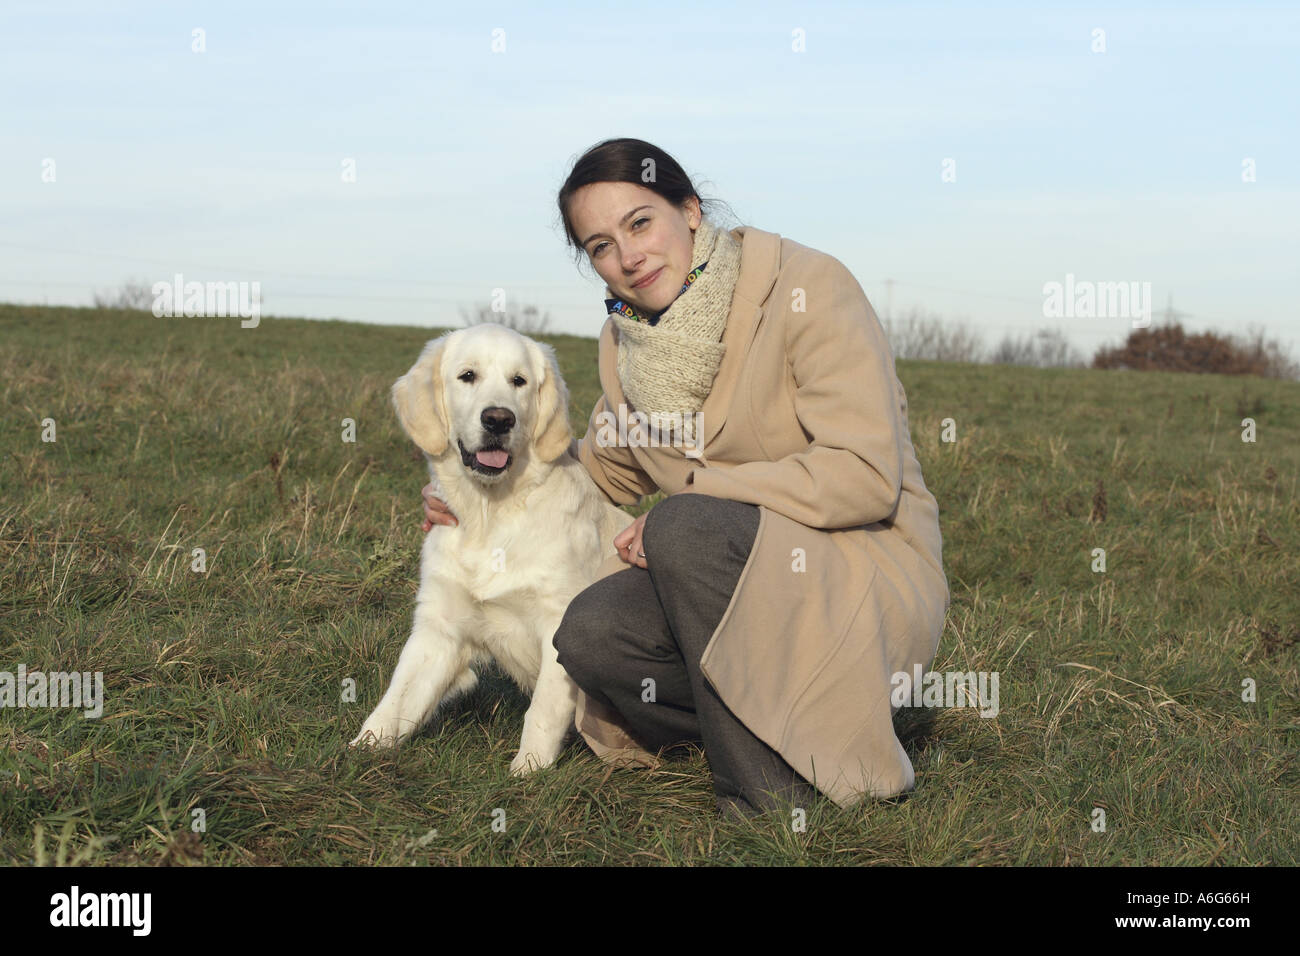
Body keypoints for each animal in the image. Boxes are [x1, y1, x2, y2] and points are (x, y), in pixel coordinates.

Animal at [345, 325, 629, 775]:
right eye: (468, 375)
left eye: (519, 381)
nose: (498, 418)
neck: (489, 513)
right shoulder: (439, 627)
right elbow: (398, 697)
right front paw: (362, 749)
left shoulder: (557, 624)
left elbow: (543, 710)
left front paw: (529, 770)